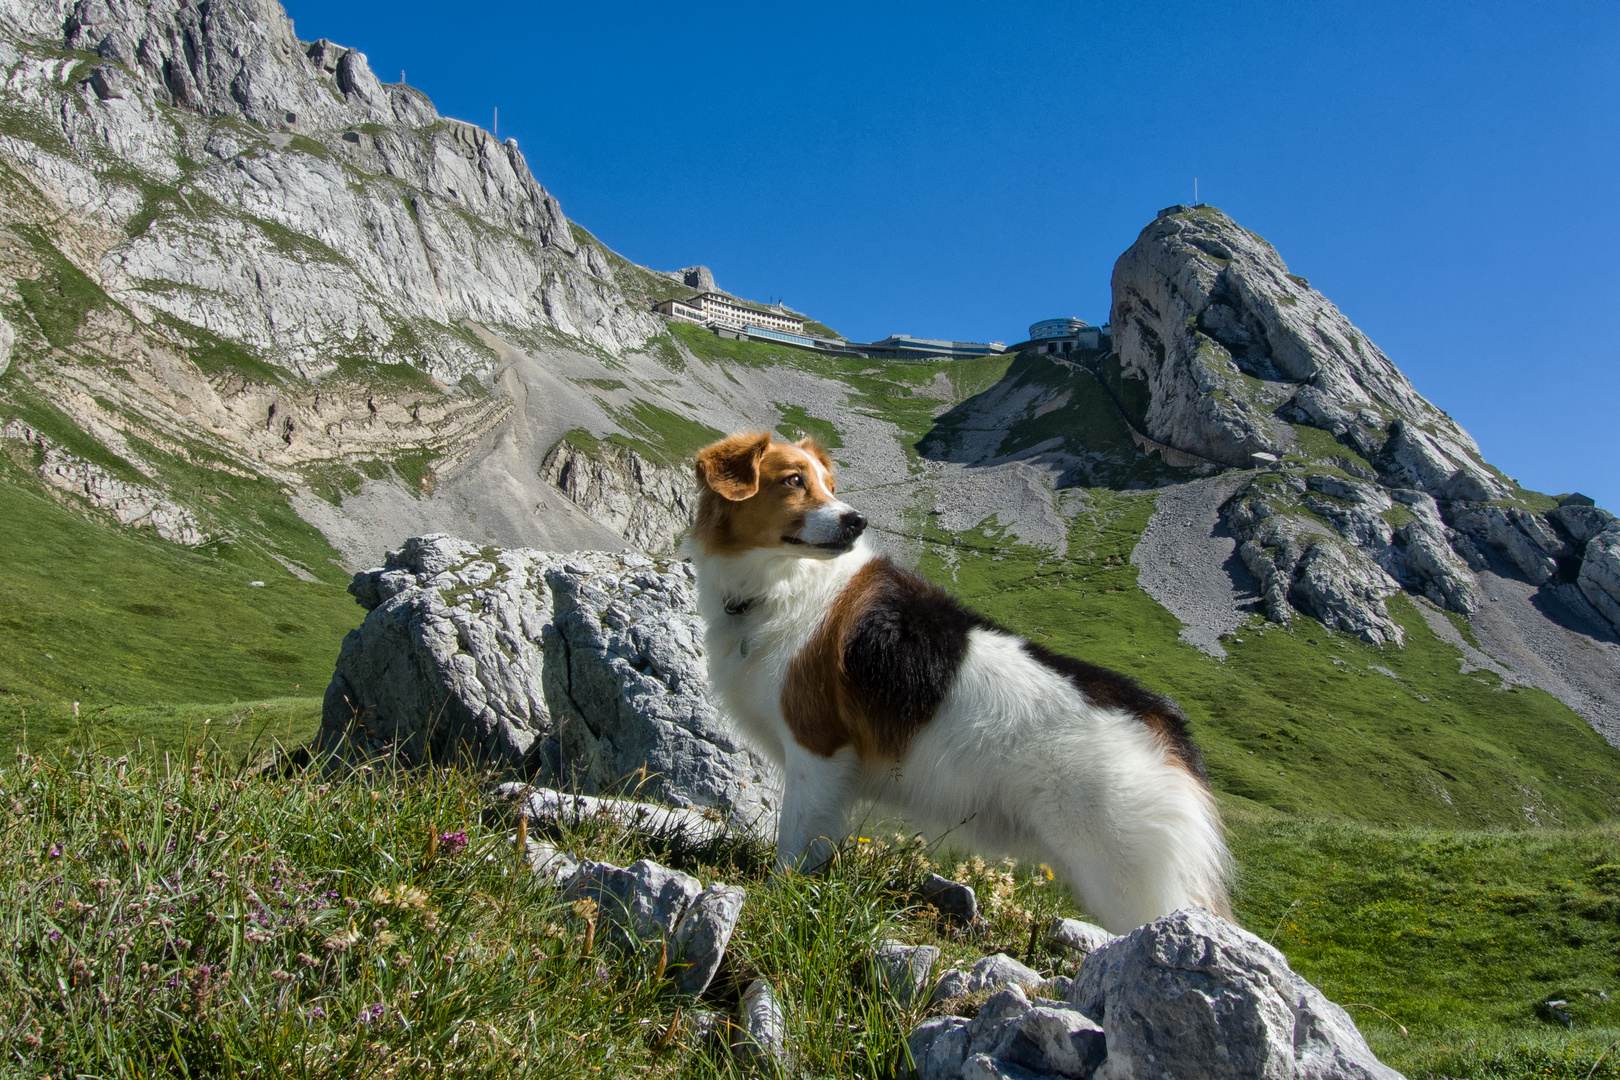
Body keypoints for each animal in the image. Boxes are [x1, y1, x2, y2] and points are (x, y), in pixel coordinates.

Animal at [683, 427, 1224, 932]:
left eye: (827, 485)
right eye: (794, 481)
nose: (856, 521)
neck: (784, 582)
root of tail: (1162, 718)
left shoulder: (817, 750)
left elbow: (794, 844)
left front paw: (777, 898)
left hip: (1126, 880)